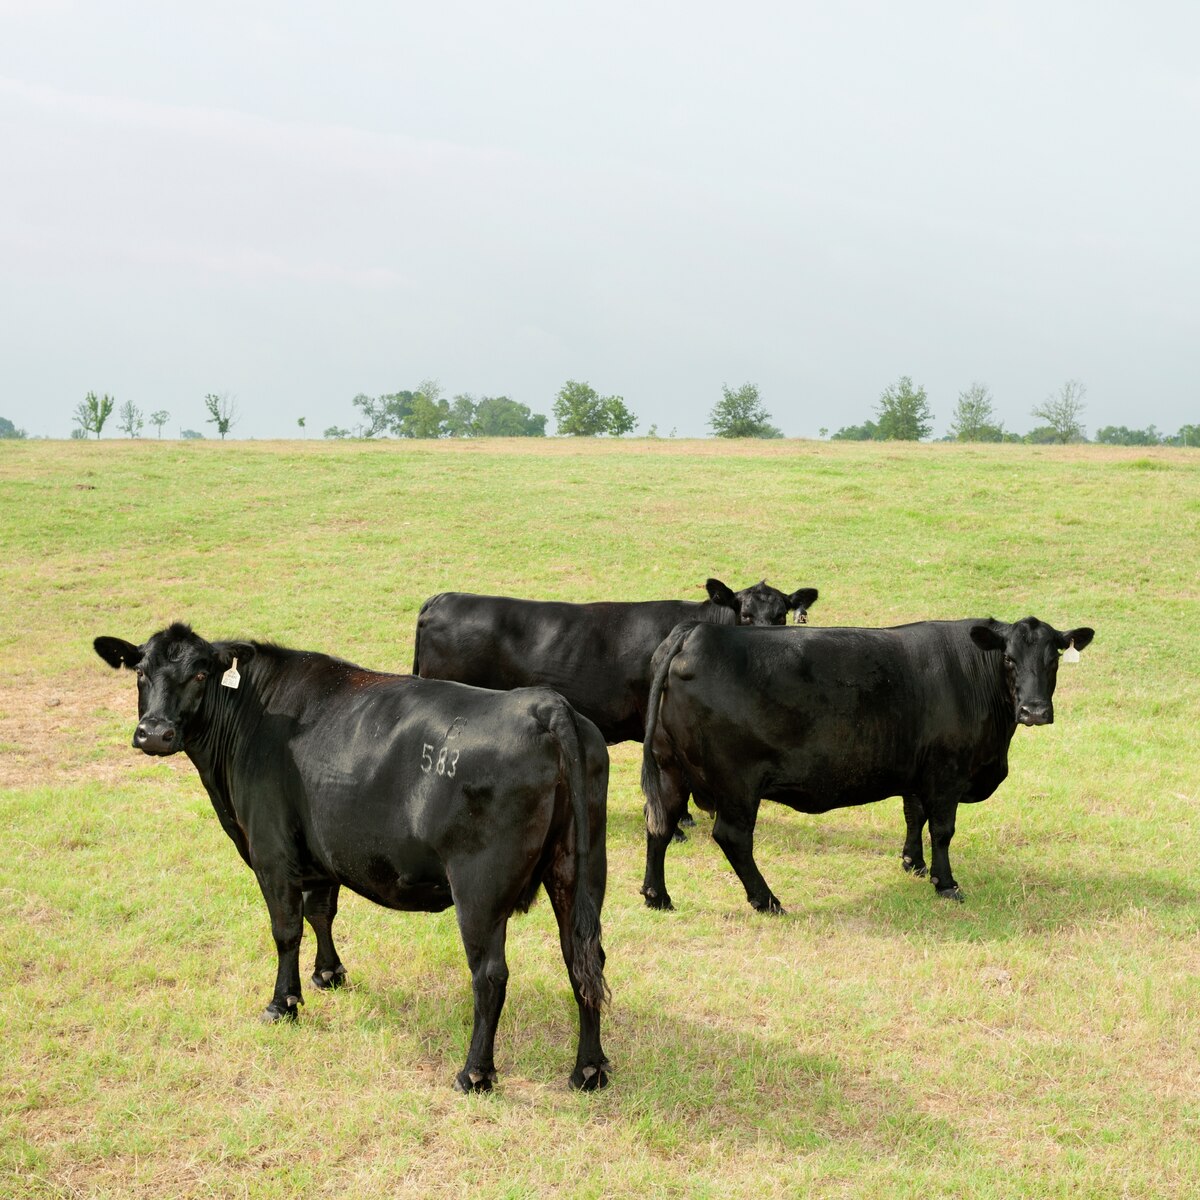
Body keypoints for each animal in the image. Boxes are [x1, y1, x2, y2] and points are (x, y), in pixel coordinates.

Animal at [94, 623, 611, 1093]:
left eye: (201, 673)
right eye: (140, 671)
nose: (154, 733)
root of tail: (546, 705)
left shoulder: (271, 851)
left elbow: (286, 930)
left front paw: (283, 1004)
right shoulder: (321, 852)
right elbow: (321, 912)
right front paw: (329, 974)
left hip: (479, 888)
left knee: (490, 975)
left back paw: (475, 1074)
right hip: (580, 872)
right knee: (583, 957)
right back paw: (589, 1070)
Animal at [640, 616, 1094, 913]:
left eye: (1053, 658)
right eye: (1010, 659)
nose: (1035, 711)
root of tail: (696, 631)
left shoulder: (916, 770)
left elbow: (913, 815)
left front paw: (913, 863)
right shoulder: (946, 773)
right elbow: (943, 830)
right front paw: (945, 883)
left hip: (669, 768)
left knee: (659, 825)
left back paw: (657, 896)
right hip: (737, 782)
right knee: (732, 837)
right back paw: (767, 900)